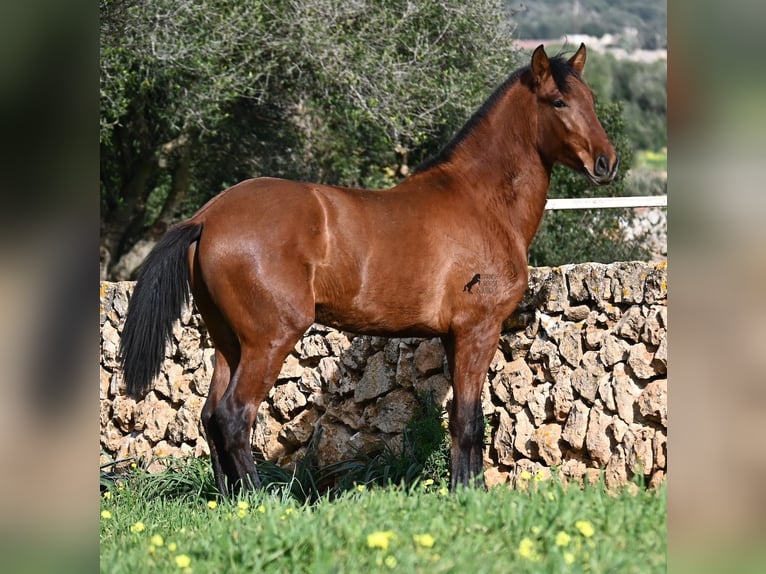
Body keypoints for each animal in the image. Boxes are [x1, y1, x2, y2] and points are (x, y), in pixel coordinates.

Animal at [119, 44, 617, 495]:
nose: (606, 162)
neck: (481, 200)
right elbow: (469, 422)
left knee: (209, 416)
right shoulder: (478, 330)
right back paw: (260, 501)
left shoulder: (456, 336)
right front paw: (469, 496)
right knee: (234, 416)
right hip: (269, 340)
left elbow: (465, 417)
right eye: (558, 102)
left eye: (591, 99)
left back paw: (231, 503)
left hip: (229, 342)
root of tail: (208, 216)